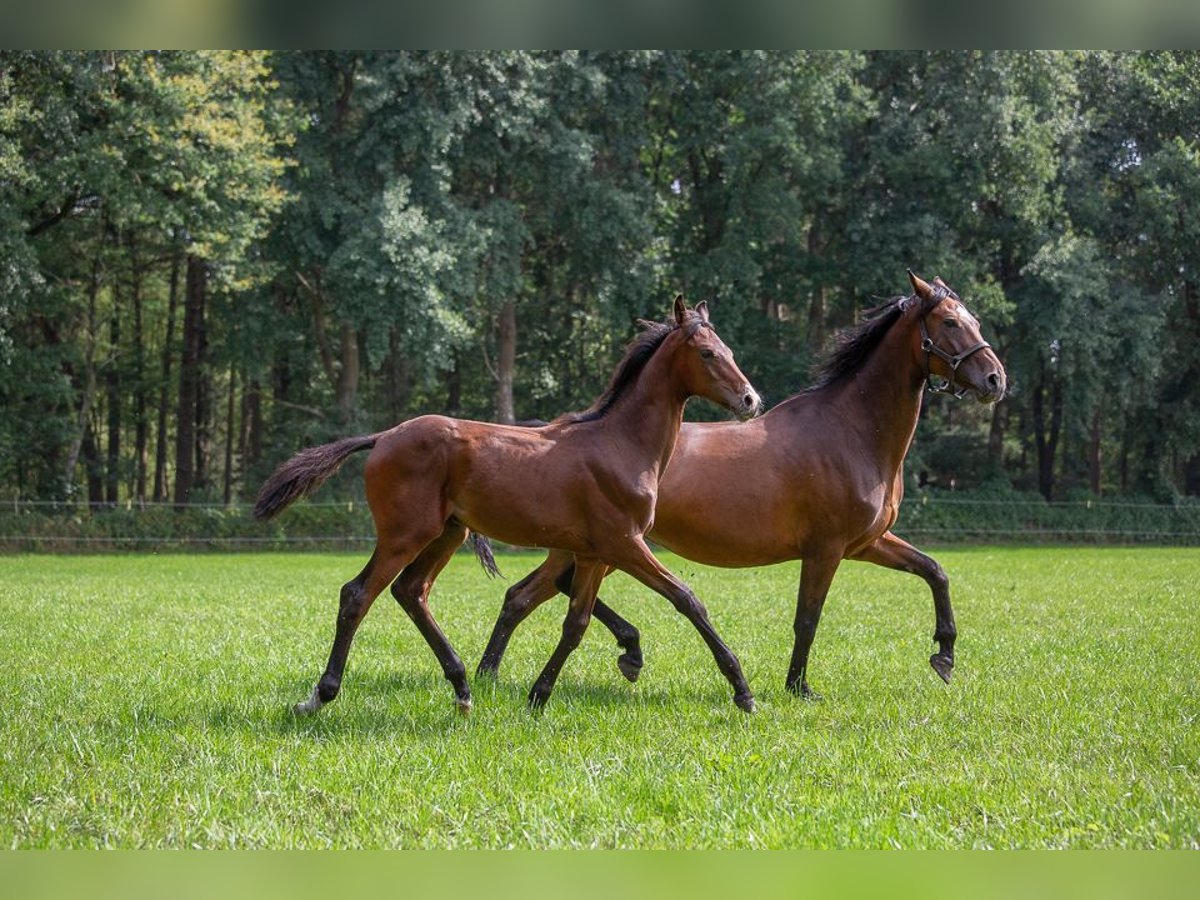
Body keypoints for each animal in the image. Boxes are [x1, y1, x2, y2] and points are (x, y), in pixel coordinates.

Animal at [252, 300, 758, 715]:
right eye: (707, 354)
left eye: (730, 349)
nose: (751, 400)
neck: (620, 444)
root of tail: (383, 436)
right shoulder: (625, 544)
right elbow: (688, 600)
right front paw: (742, 691)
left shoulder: (593, 553)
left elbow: (575, 624)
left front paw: (540, 695)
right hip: (403, 535)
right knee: (358, 595)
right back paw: (320, 695)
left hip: (447, 533)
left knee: (412, 592)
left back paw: (462, 688)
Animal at [472, 271, 1008, 700]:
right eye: (951, 323)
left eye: (974, 319)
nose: (995, 380)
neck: (851, 430)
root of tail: (554, 432)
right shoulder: (827, 548)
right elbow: (808, 618)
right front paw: (798, 687)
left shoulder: (868, 543)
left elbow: (935, 571)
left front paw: (944, 656)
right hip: (605, 547)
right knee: (538, 594)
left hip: (590, 548)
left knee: (522, 595)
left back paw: (494, 674)